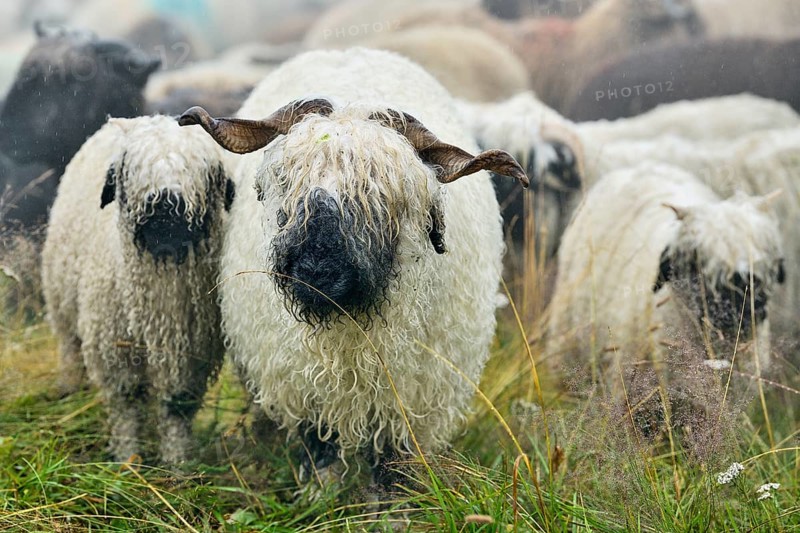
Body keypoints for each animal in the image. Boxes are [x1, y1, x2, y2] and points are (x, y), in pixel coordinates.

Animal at [41, 115, 235, 463]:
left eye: (202, 168)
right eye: (131, 168)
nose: (166, 204)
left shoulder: (187, 357)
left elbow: (175, 409)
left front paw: (177, 462)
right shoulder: (114, 349)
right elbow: (126, 407)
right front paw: (127, 460)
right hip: (60, 296)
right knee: (69, 347)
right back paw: (70, 389)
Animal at [178, 47, 528, 494]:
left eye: (383, 192)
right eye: (284, 181)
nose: (316, 270)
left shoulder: (409, 402)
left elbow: (392, 467)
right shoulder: (305, 389)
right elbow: (319, 449)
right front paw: (319, 496)